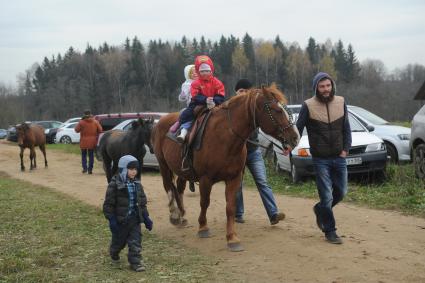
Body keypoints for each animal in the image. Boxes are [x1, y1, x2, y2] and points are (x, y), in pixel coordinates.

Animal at [151, 85, 300, 253]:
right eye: (277, 110)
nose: (295, 138)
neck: (225, 137)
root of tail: (160, 121)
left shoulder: (233, 178)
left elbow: (230, 207)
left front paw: (232, 238)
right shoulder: (205, 179)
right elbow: (205, 202)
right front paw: (203, 227)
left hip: (182, 170)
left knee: (179, 189)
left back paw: (182, 215)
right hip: (163, 165)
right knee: (168, 187)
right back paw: (175, 215)